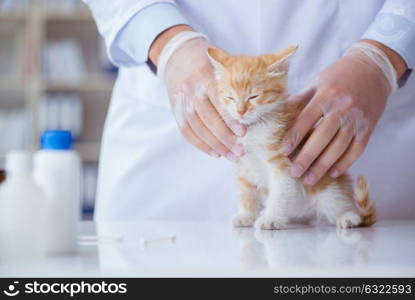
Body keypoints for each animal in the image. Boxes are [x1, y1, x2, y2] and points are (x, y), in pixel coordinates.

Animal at [208, 45, 376, 230]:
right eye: (229, 97)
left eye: (253, 96)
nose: (240, 111)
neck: (255, 128)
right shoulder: (243, 162)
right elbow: (246, 189)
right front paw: (247, 215)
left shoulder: (282, 161)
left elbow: (279, 191)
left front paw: (271, 218)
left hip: (326, 188)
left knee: (338, 204)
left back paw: (348, 217)